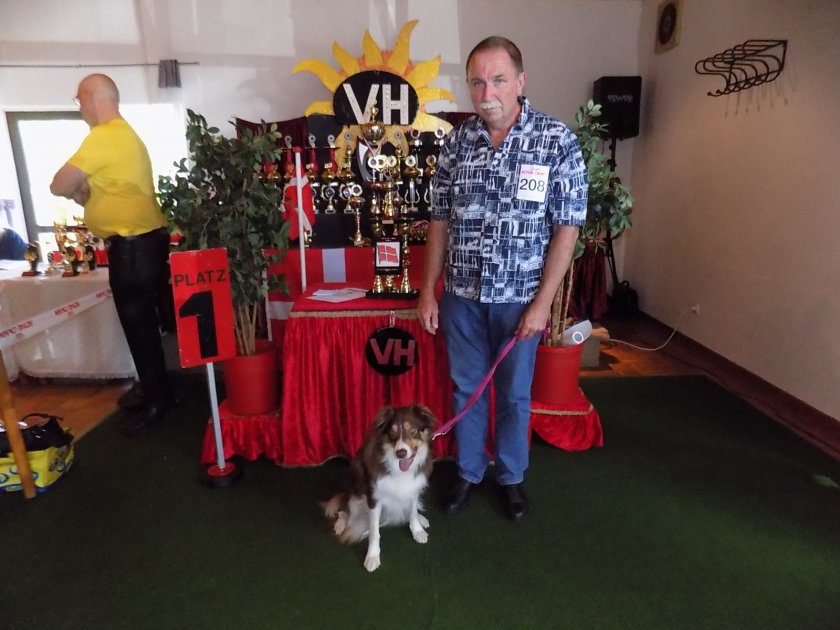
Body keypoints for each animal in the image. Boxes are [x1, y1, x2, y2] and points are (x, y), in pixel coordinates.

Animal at [322, 404, 436, 572]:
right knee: (345, 511)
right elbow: (374, 532)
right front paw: (372, 557)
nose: (401, 453)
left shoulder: (413, 490)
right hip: (355, 493)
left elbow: (413, 512)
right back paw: (340, 525)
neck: (400, 470)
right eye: (393, 432)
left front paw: (417, 530)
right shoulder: (374, 497)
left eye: (413, 430)